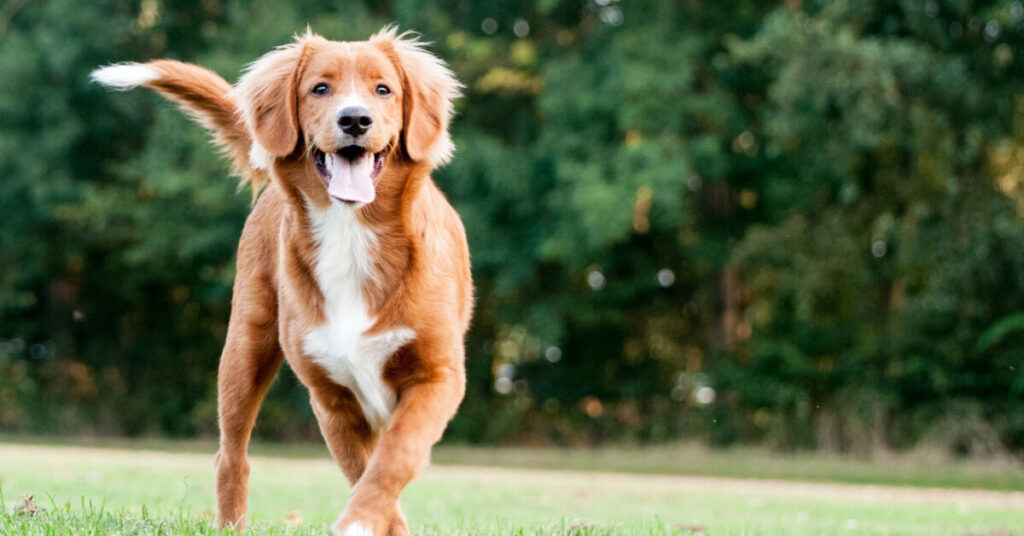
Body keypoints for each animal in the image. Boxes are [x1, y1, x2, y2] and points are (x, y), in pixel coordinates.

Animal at [92, 29, 471, 536]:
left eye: (384, 89)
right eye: (320, 88)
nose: (355, 119)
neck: (351, 233)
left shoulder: (437, 376)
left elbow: (393, 459)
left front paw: (361, 520)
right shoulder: (331, 396)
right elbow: (366, 470)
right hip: (244, 348)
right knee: (231, 455)